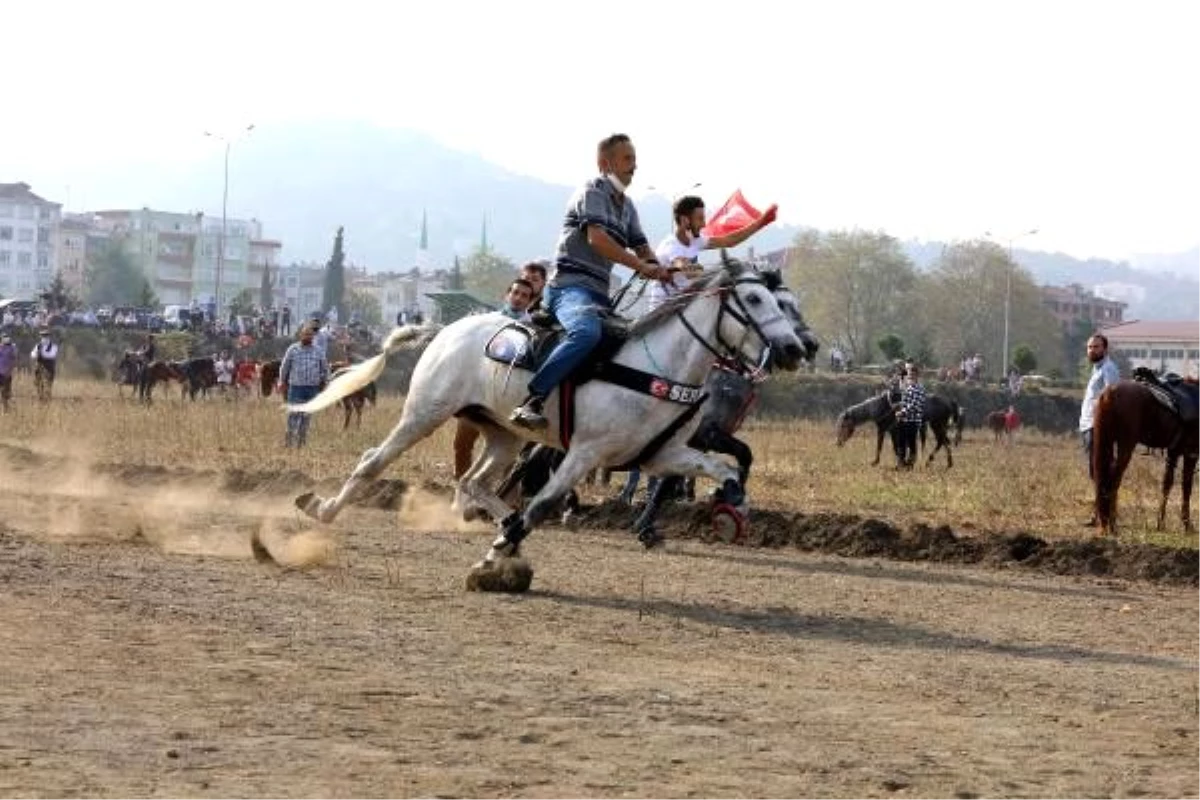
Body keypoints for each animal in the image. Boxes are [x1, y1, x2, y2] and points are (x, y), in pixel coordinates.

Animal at [282, 253, 806, 592]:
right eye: (755, 300)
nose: (797, 348)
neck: (656, 368)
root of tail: (448, 327)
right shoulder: (583, 453)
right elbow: (542, 505)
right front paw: (492, 559)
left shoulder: (662, 454)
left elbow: (725, 469)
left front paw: (729, 505)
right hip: (425, 413)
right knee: (375, 460)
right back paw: (323, 509)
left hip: (503, 434)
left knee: (472, 482)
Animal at [835, 388, 964, 465]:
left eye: (843, 425)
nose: (838, 443)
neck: (883, 407)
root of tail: (949, 401)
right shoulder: (889, 431)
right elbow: (891, 447)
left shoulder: (887, 430)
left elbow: (884, 446)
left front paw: (877, 462)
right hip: (937, 425)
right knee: (944, 441)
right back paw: (946, 463)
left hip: (937, 424)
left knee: (942, 441)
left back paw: (931, 460)